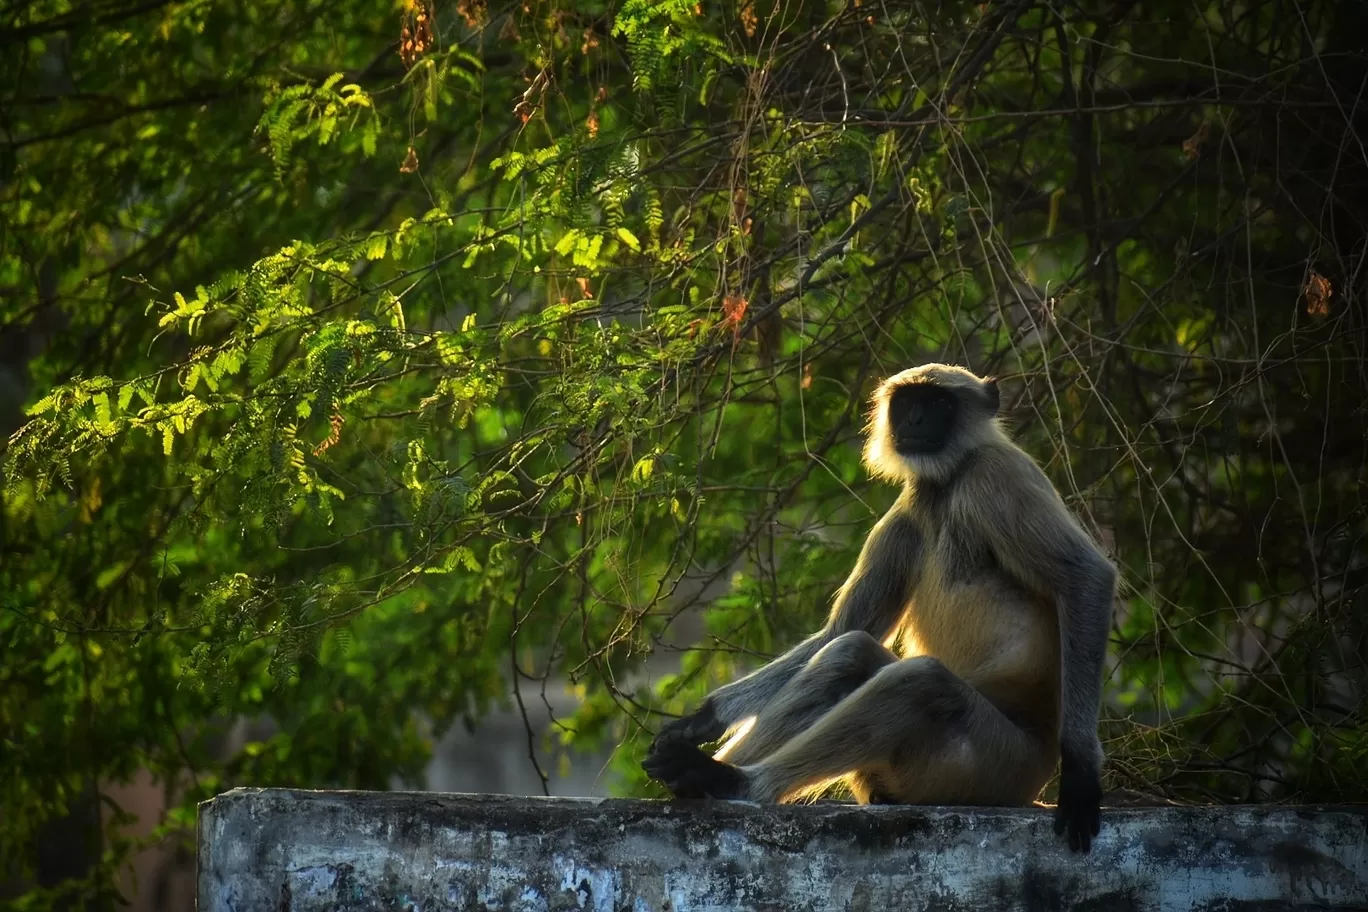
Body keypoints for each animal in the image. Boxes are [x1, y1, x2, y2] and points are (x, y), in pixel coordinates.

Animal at [645, 363, 1116, 858]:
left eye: (939, 403)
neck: (945, 484)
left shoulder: (999, 475)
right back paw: (695, 775)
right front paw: (701, 720)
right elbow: (842, 629)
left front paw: (1081, 774)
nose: (914, 421)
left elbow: (1086, 576)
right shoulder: (904, 518)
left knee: (923, 683)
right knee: (850, 653)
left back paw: (731, 782)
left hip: (994, 766)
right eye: (907, 403)